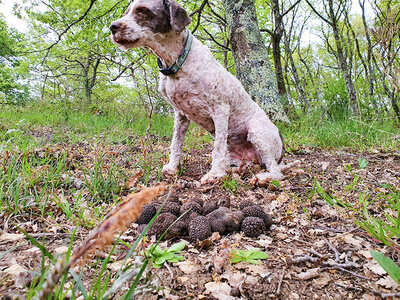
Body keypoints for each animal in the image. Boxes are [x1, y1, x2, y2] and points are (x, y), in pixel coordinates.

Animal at [110, 0, 300, 185]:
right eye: (126, 12)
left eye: (142, 11)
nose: (112, 27)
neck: (178, 62)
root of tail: (281, 155)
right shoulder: (180, 115)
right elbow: (176, 144)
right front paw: (172, 168)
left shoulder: (220, 110)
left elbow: (218, 149)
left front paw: (215, 174)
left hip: (257, 132)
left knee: (276, 173)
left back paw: (262, 177)